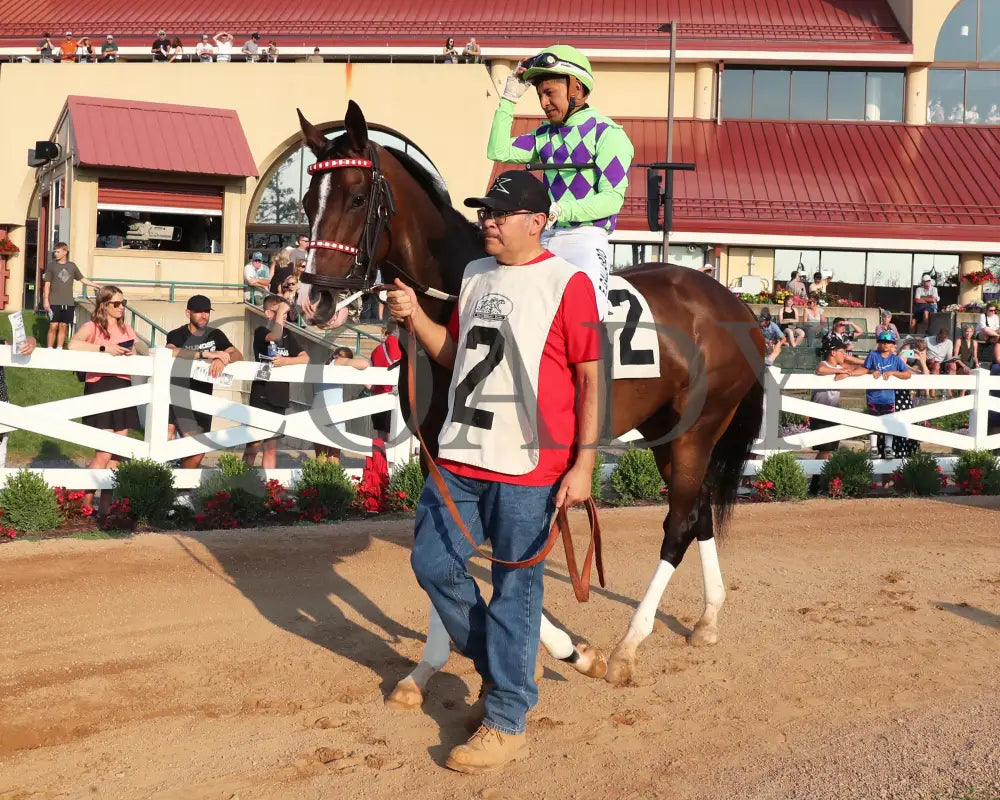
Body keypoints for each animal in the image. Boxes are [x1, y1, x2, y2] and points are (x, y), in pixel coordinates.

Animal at [294, 101, 764, 700]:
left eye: (356, 198)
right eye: (307, 201)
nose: (314, 297)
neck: (462, 296)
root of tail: (734, 303)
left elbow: (509, 557)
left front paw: (571, 652)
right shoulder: (438, 453)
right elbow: (450, 546)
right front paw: (425, 669)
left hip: (696, 429)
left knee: (679, 523)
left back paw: (626, 648)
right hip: (668, 432)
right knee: (700, 510)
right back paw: (706, 620)